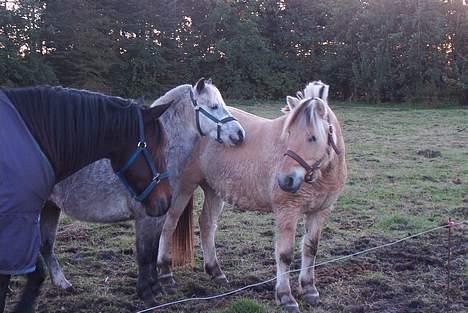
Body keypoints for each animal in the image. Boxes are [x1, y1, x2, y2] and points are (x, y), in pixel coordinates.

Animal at [38, 78, 247, 304]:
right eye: (214, 107)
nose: (240, 134)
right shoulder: (145, 217)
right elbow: (145, 254)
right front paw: (146, 292)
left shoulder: (158, 215)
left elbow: (153, 251)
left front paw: (156, 288)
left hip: (50, 207)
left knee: (46, 246)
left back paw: (62, 284)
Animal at [159, 81, 346, 312]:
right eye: (288, 134)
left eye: (313, 137)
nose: (285, 181)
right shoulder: (287, 211)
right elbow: (284, 254)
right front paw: (286, 296)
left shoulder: (319, 212)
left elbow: (311, 249)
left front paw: (310, 290)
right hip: (184, 188)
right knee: (169, 225)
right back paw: (165, 274)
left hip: (213, 190)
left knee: (207, 224)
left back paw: (215, 271)